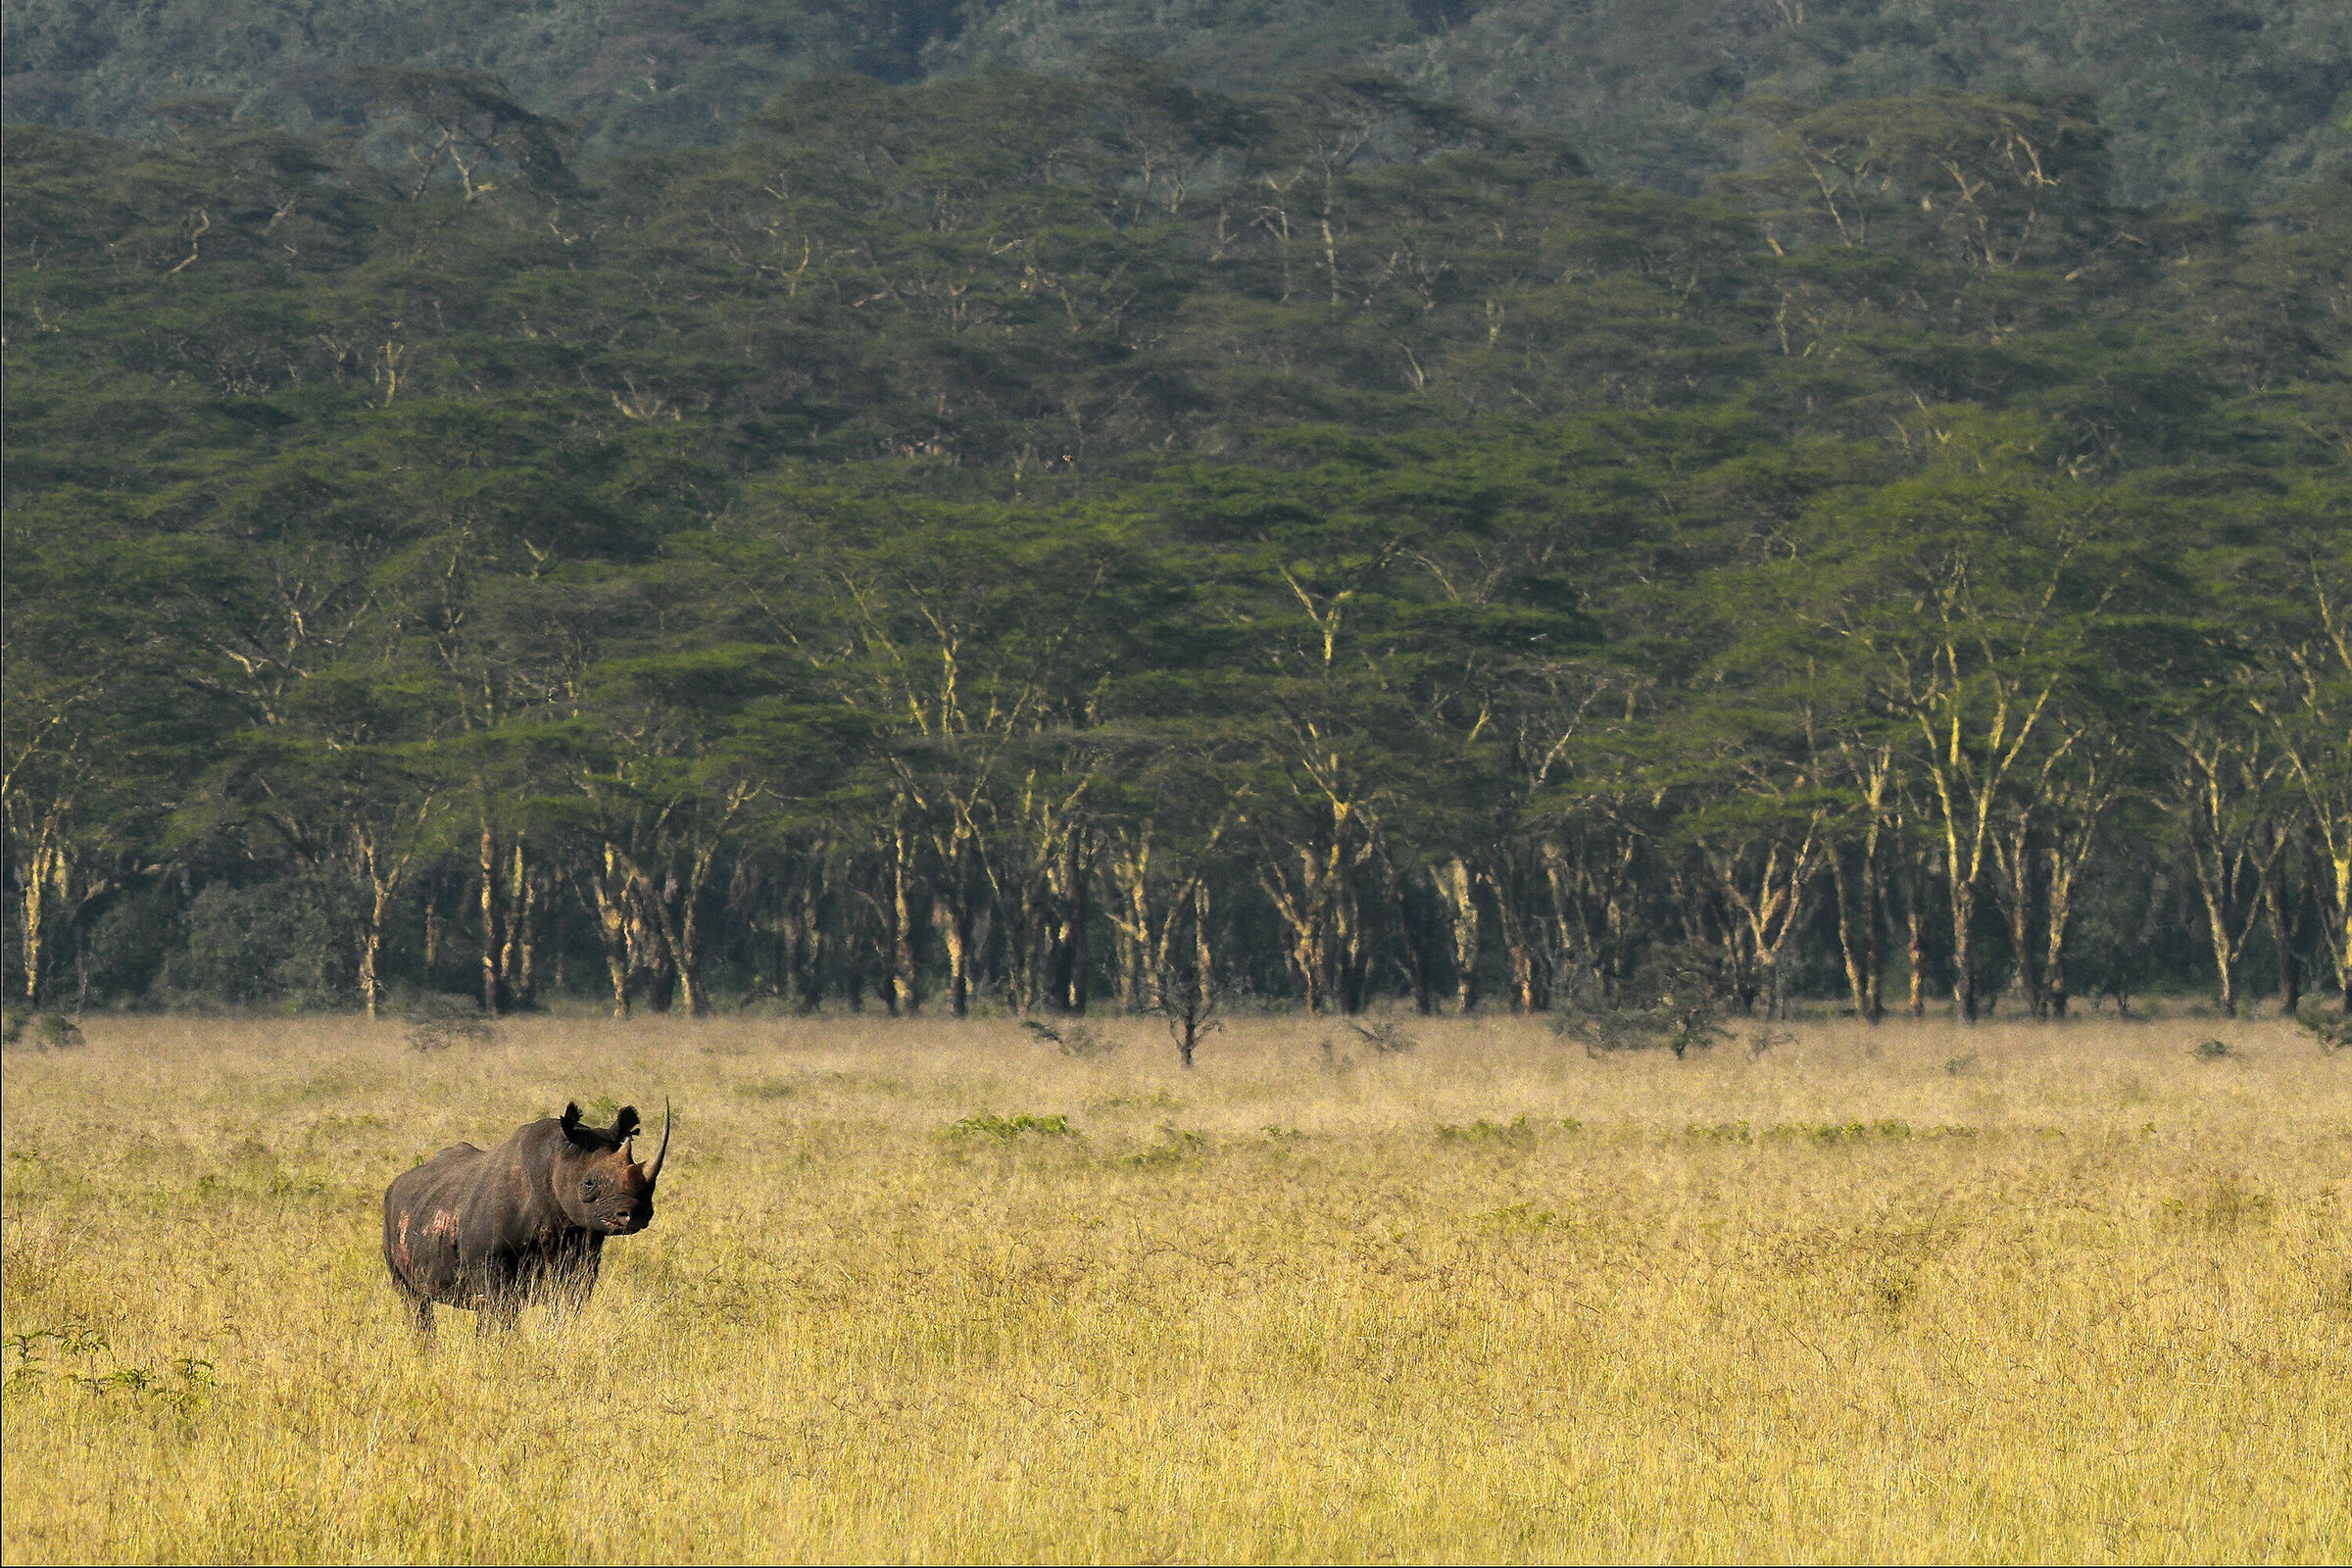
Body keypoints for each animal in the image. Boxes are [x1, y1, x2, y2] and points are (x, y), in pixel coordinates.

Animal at [383, 1100, 669, 1337]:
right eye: (588, 1184)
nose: (635, 1213)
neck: (553, 1164)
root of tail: (397, 1183)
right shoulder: (489, 1262)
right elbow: (502, 1311)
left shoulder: (581, 1259)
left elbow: (567, 1308)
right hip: (392, 1217)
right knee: (414, 1299)